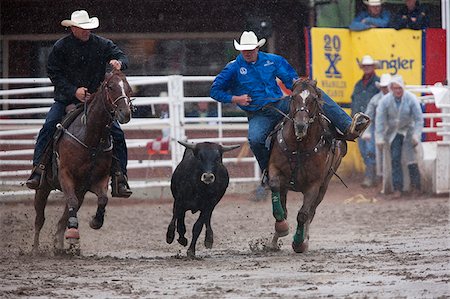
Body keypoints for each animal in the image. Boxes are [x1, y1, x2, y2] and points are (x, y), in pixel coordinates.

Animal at [32, 69, 132, 253]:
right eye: (111, 87)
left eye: (128, 88)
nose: (125, 113)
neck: (91, 138)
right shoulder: (65, 175)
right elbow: (71, 202)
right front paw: (73, 232)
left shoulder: (97, 181)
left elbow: (103, 199)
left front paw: (95, 221)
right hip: (43, 188)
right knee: (40, 219)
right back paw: (35, 248)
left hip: (79, 191)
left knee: (63, 218)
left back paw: (61, 245)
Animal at [268, 77, 346, 253]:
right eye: (293, 97)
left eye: (314, 99)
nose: (300, 125)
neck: (299, 145)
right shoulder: (274, 169)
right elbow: (275, 188)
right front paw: (281, 227)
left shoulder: (314, 185)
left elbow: (303, 214)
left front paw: (299, 242)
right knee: (284, 206)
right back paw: (276, 238)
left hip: (324, 187)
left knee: (311, 212)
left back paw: (304, 238)